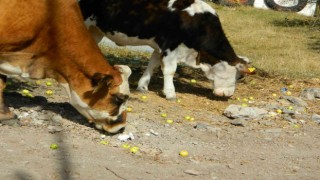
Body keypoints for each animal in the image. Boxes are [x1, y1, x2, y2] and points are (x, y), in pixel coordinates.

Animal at [79, 0, 251, 100]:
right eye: (237, 76)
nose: (228, 95)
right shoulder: (171, 45)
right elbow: (170, 70)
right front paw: (170, 93)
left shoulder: (159, 46)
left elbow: (153, 64)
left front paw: (142, 86)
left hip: (96, 30)